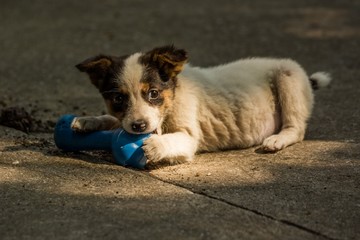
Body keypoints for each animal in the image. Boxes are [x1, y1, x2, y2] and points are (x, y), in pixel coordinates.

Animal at [71, 45, 330, 165]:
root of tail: (306, 78)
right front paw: (87, 121)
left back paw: (277, 140)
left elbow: (173, 139)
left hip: (288, 78)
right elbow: (112, 120)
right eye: (118, 99)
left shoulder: (189, 137)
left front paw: (154, 145)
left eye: (153, 93)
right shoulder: (124, 119)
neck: (172, 100)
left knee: (296, 128)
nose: (138, 126)